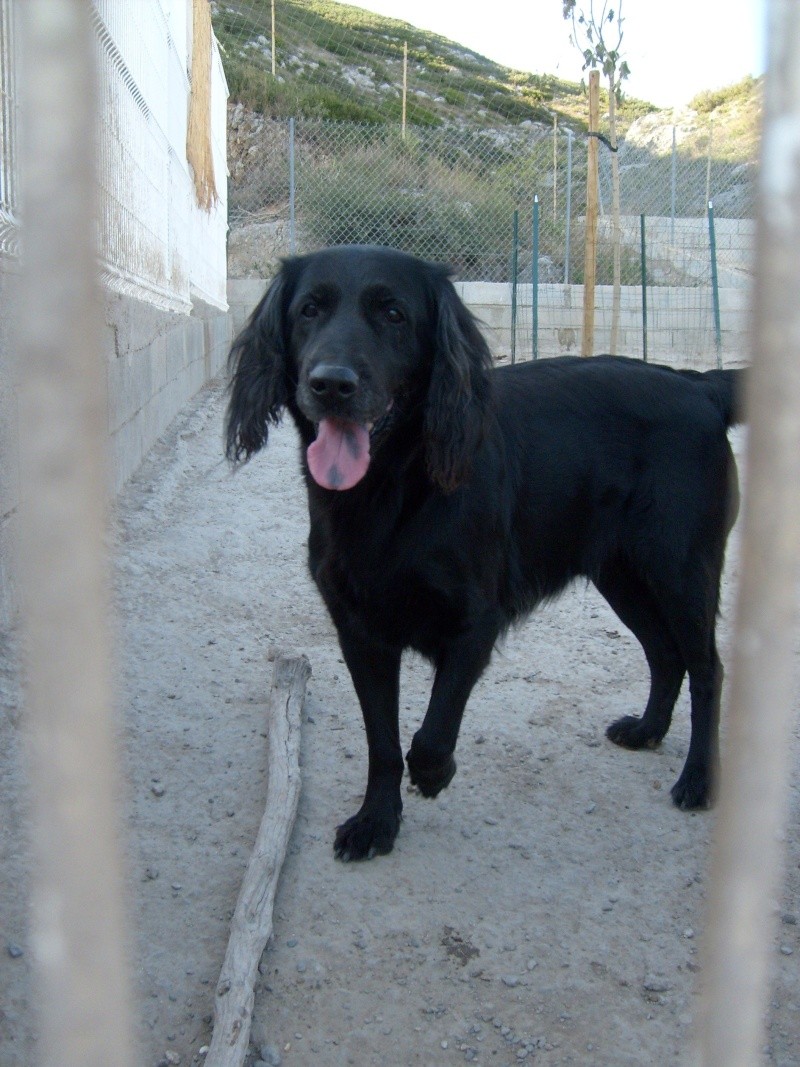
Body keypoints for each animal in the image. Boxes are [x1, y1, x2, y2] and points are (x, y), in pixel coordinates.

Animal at [224, 245, 746, 862]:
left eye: (394, 314)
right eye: (308, 310)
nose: (331, 384)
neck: (394, 491)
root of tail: (699, 385)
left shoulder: (475, 621)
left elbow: (430, 733)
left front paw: (434, 775)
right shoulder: (360, 632)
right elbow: (383, 741)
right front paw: (376, 821)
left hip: (680, 569)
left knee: (707, 668)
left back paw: (699, 780)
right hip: (623, 574)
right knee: (665, 655)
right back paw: (646, 732)